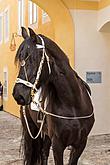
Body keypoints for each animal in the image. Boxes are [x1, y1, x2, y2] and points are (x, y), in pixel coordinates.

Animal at [12, 27, 94, 165]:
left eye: (33, 58)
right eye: (20, 59)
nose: (18, 94)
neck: (73, 105)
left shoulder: (80, 143)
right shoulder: (58, 144)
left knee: (44, 153)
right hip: (30, 130)